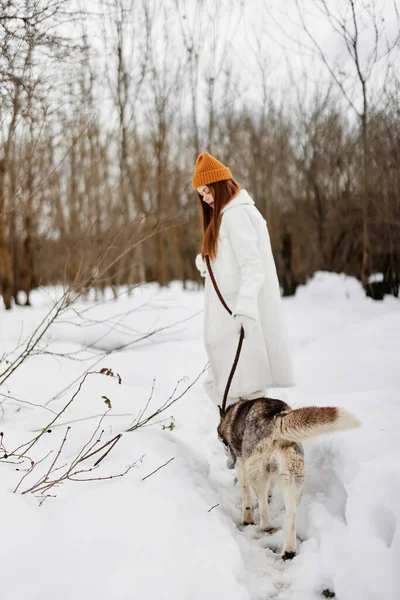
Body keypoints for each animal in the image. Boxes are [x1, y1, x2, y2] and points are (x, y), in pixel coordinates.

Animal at [217, 396, 360, 560]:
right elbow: (270, 490)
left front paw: (247, 519)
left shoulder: (241, 465)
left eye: (224, 444)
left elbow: (246, 495)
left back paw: (267, 527)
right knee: (291, 515)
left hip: (258, 475)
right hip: (292, 479)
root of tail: (276, 420)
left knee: (264, 509)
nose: (228, 462)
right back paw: (289, 550)